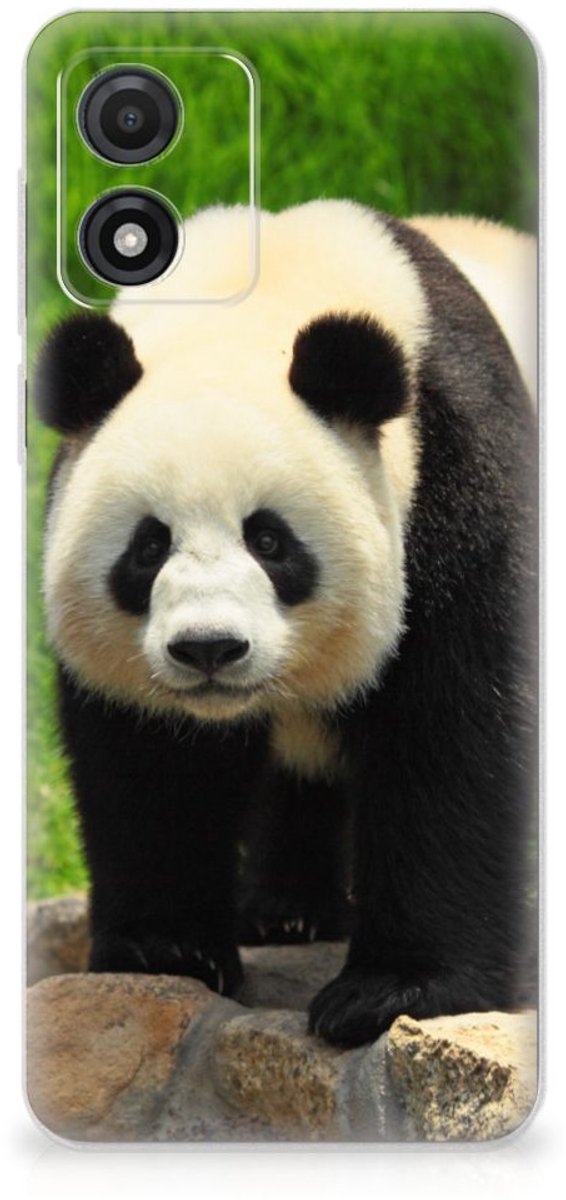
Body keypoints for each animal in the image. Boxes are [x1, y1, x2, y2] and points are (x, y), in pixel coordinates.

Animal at [35, 201, 537, 1048]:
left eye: (270, 541)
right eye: (148, 546)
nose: (208, 648)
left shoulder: (458, 474)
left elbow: (454, 730)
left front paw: (393, 991)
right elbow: (148, 760)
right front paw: (167, 949)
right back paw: (287, 911)